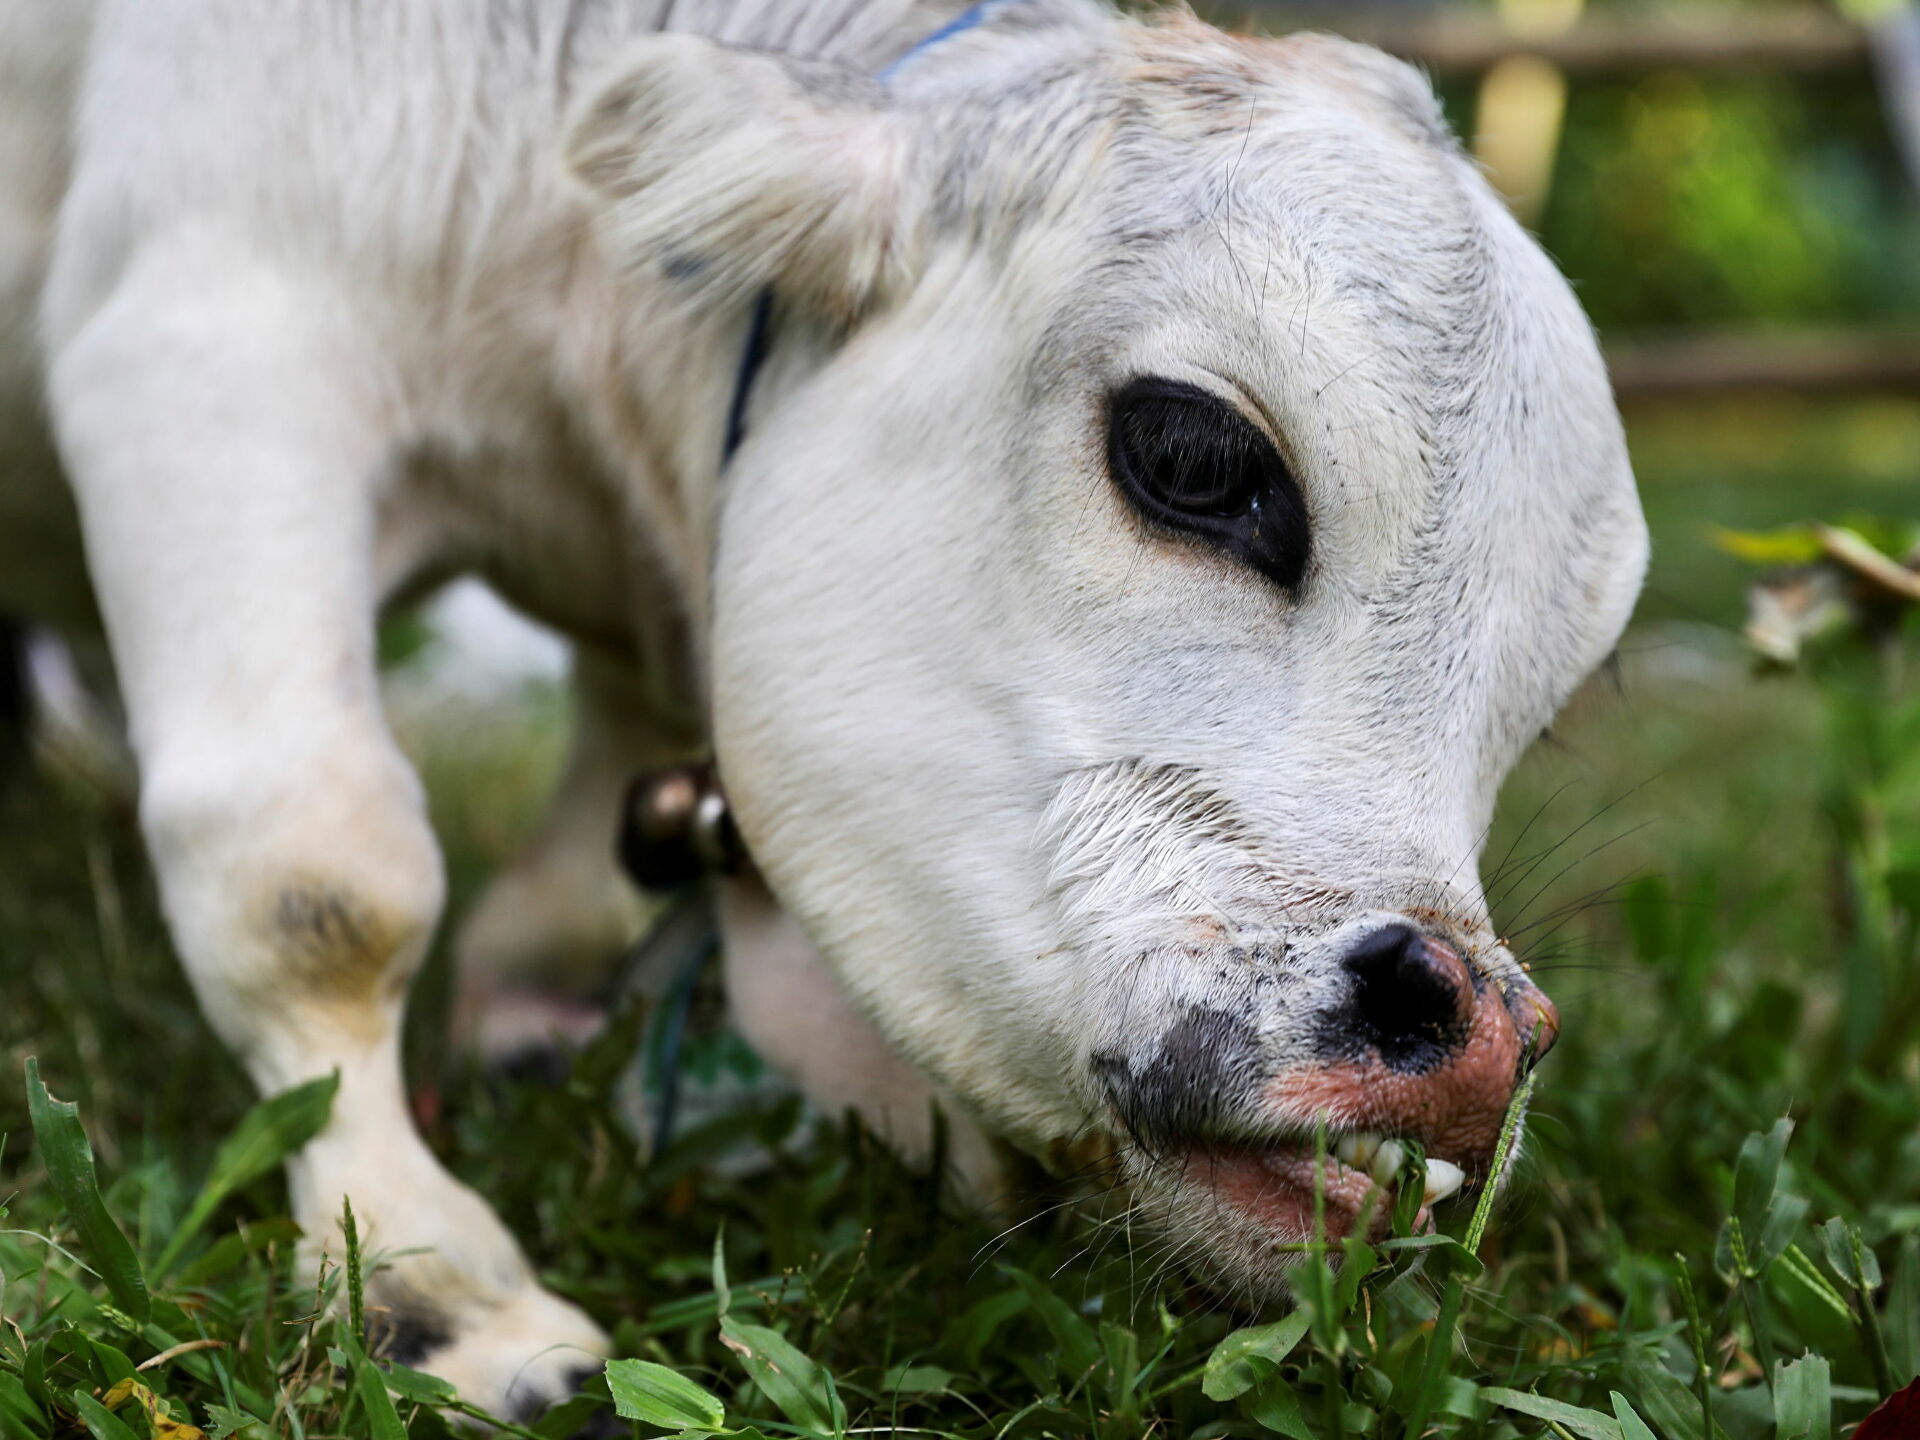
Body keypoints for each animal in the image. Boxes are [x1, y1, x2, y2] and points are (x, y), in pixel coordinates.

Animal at [0, 0, 1651, 1420]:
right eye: (1191, 452)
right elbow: (317, 884)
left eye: (1550, 695)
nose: (1481, 1041)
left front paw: (528, 1020)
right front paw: (430, 1281)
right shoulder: (208, 336)